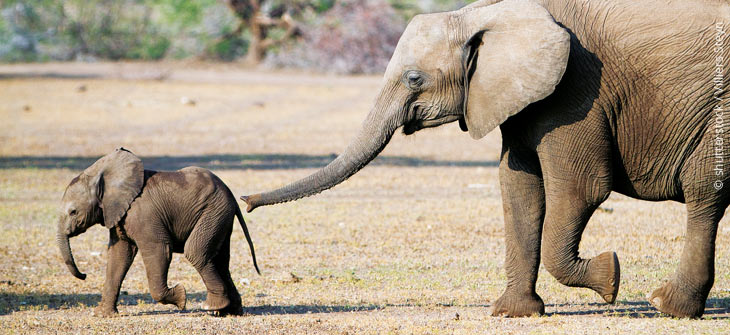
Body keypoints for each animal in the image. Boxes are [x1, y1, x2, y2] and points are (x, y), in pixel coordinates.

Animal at [58, 148, 260, 316]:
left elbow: (159, 251)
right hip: (219, 217)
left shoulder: (143, 215)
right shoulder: (119, 216)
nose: (84, 275)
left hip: (212, 213)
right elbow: (118, 256)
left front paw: (181, 298)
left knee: (196, 252)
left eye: (73, 212)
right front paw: (103, 315)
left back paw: (211, 307)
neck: (104, 176)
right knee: (220, 260)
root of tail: (232, 196)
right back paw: (230, 312)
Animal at [245, 0, 728, 318]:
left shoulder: (577, 93)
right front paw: (513, 313)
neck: (483, 13)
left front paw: (610, 277)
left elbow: (581, 189)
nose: (247, 202)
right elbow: (518, 188)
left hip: (717, 112)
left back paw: (666, 306)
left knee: (704, 195)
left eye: (414, 79)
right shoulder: (517, 96)